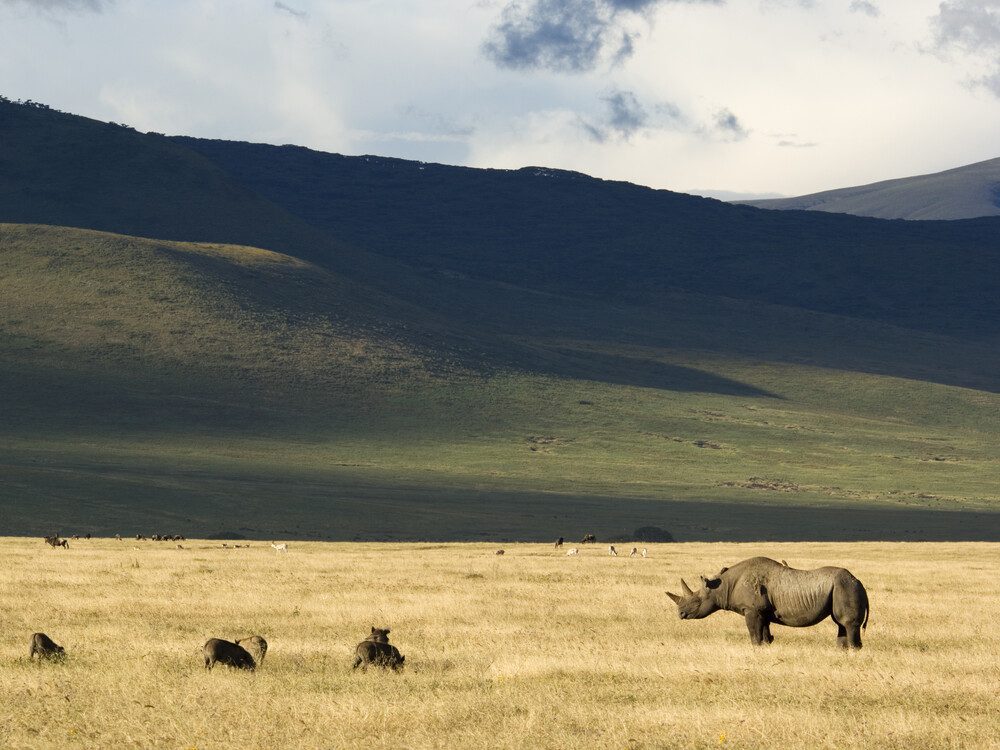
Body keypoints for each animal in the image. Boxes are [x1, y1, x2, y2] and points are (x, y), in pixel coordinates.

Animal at [665, 557, 870, 648]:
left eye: (696, 601)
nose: (680, 614)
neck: (722, 586)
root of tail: (859, 581)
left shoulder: (751, 610)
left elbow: (754, 634)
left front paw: (756, 649)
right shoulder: (762, 612)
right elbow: (764, 634)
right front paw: (766, 647)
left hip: (845, 586)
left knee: (847, 623)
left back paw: (852, 651)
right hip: (842, 587)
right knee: (840, 624)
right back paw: (842, 651)